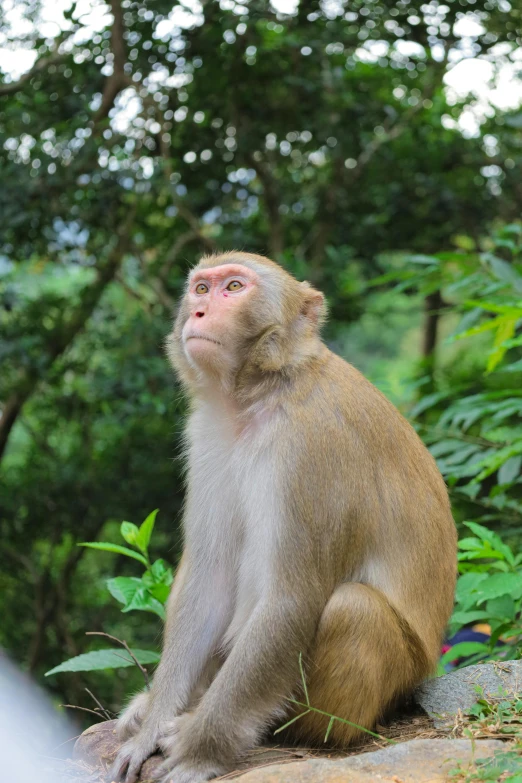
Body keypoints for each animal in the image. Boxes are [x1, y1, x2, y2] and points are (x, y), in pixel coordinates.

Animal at [110, 251, 456, 783]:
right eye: (201, 288)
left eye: (234, 287)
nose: (199, 312)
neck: (262, 391)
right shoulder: (206, 434)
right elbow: (208, 581)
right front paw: (151, 728)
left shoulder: (311, 446)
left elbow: (292, 599)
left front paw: (197, 749)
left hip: (386, 686)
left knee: (352, 608)